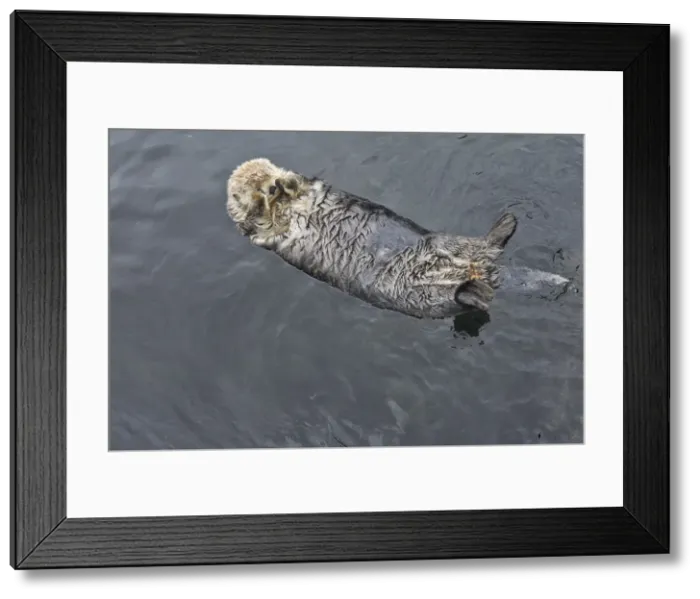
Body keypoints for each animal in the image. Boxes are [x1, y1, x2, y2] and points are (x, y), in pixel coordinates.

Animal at [225, 157, 527, 319]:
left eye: (268, 177)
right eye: (255, 187)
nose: (271, 187)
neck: (285, 205)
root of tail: (484, 272)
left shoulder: (308, 187)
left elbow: (298, 182)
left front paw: (284, 183)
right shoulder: (261, 231)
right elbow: (258, 220)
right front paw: (260, 202)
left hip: (450, 244)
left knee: (487, 246)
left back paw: (506, 224)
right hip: (424, 297)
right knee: (462, 300)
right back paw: (478, 290)